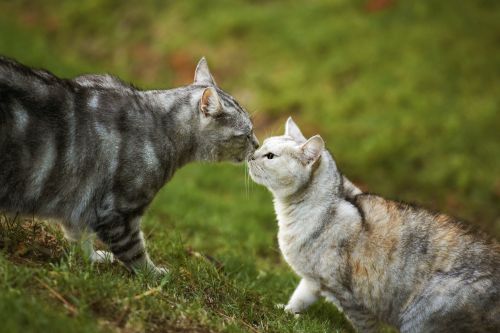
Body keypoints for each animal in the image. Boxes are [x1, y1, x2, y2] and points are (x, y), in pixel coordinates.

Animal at [0, 57, 258, 274]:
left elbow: (79, 234)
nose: (256, 145)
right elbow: (135, 253)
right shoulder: (118, 212)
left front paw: (91, 258)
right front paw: (155, 275)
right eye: (246, 135)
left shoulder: (80, 202)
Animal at [248, 118, 500, 330]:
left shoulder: (350, 298)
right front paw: (286, 311)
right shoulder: (313, 281)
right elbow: (299, 298)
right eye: (261, 147)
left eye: (269, 156)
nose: (251, 155)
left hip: (423, 313)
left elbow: (364, 326)